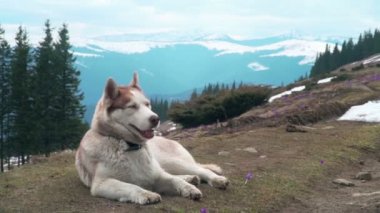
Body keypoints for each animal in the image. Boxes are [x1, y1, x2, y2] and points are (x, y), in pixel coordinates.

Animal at [75, 73, 227, 205]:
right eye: (132, 106)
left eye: (147, 104)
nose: (156, 118)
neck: (128, 145)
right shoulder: (102, 183)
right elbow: (131, 186)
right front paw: (146, 194)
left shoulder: (156, 175)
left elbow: (174, 181)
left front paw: (188, 188)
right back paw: (191, 178)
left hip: (170, 161)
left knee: (199, 170)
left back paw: (214, 179)